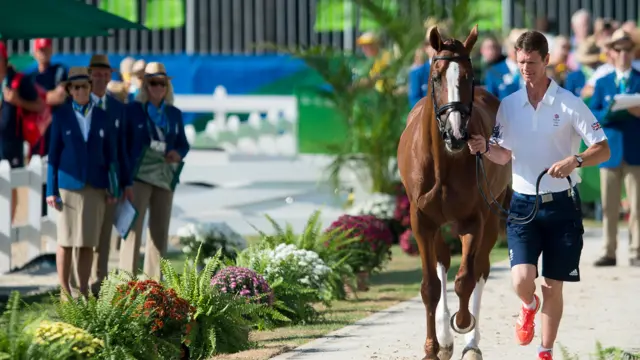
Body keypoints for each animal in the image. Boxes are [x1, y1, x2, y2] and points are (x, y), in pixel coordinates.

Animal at [398, 26, 512, 360]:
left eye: (469, 77)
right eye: (436, 77)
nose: (457, 133)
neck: (442, 164)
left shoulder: (474, 219)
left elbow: (466, 280)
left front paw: (463, 325)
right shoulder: (422, 221)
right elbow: (430, 286)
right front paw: (433, 348)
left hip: (491, 217)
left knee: (480, 270)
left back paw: (470, 342)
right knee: (444, 264)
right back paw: (447, 341)